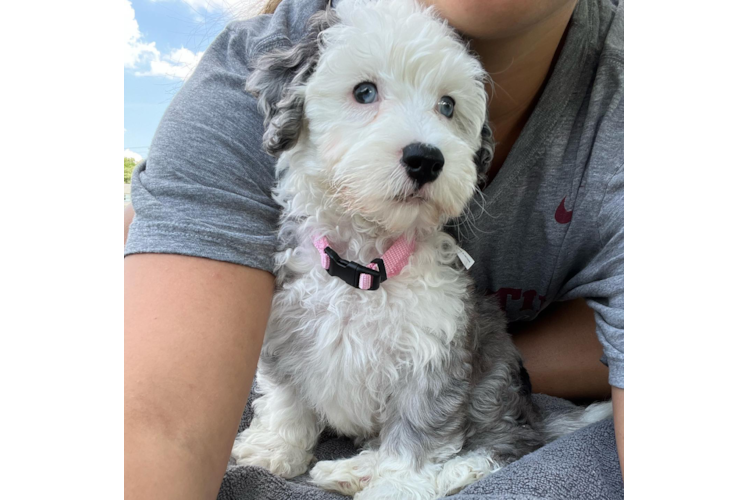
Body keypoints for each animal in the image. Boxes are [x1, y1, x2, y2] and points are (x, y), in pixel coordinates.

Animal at [234, 0, 612, 500]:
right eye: (365, 92)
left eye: (447, 106)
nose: (426, 159)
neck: (365, 267)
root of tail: (532, 416)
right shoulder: (283, 333)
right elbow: (286, 398)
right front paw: (274, 450)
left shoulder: (433, 359)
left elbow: (418, 436)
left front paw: (395, 485)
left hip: (493, 391)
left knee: (502, 449)